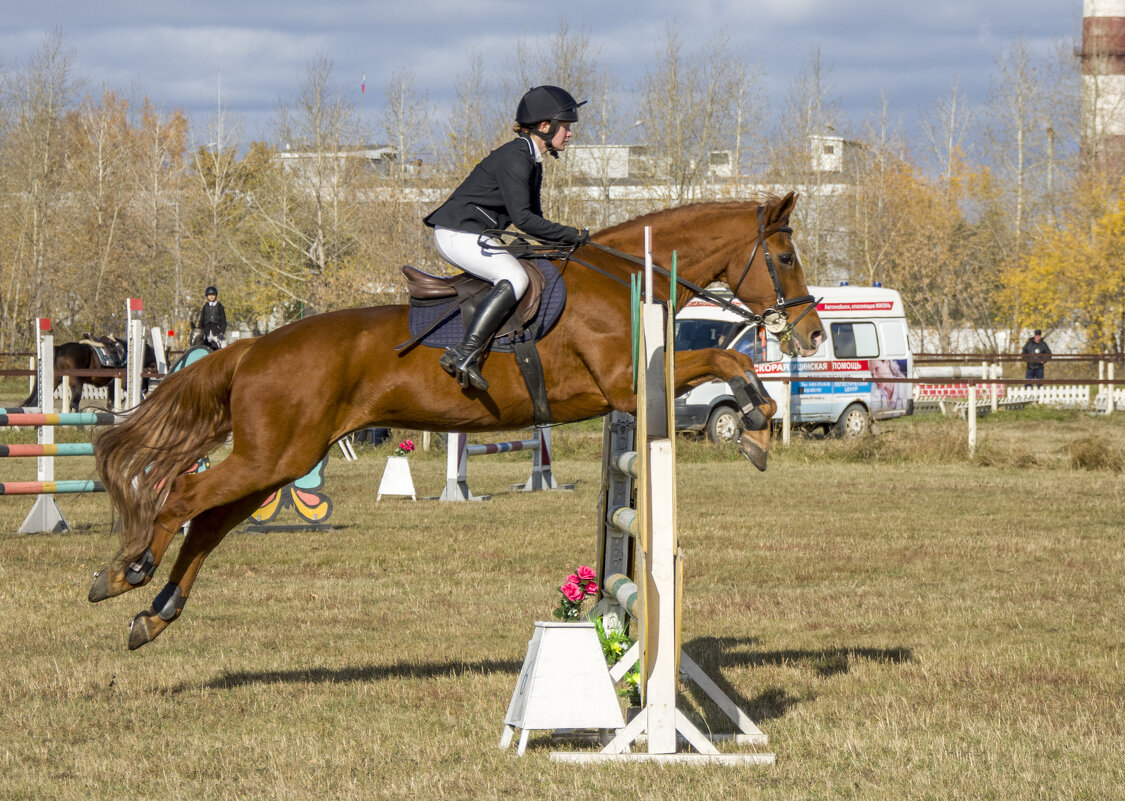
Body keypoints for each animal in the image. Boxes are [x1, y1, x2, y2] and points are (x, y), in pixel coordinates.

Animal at [20, 335, 157, 414]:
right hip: (77, 383)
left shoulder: (112, 385)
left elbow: (111, 402)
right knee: (74, 404)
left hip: (56, 381)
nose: (145, 388)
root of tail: (60, 349)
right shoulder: (122, 383)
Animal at [90, 192, 828, 652]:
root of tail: (252, 347)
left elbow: (724, 357)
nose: (812, 334)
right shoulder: (627, 382)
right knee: (182, 498)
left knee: (209, 524)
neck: (619, 278)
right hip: (272, 456)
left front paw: (757, 425)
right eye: (785, 257)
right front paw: (758, 424)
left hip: (278, 460)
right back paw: (124, 574)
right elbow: (724, 354)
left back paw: (154, 616)